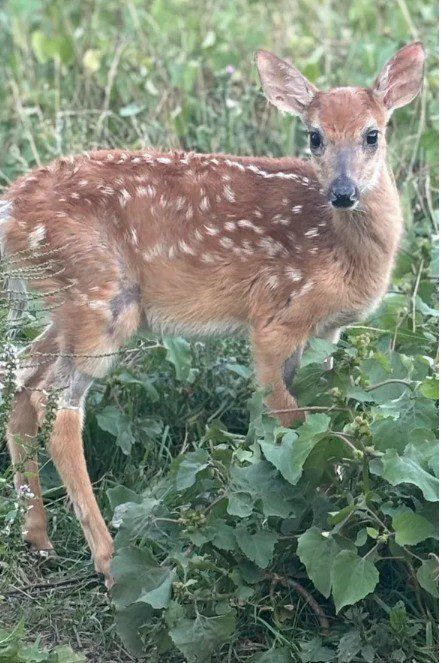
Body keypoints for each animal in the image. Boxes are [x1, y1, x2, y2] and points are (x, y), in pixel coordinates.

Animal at [0, 43, 424, 587]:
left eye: (374, 134)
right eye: (314, 136)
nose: (344, 191)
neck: (343, 249)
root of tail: (10, 210)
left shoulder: (327, 335)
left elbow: (325, 415)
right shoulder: (274, 318)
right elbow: (296, 422)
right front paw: (327, 508)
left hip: (66, 304)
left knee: (22, 376)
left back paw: (37, 537)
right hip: (100, 296)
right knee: (56, 406)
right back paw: (109, 561)